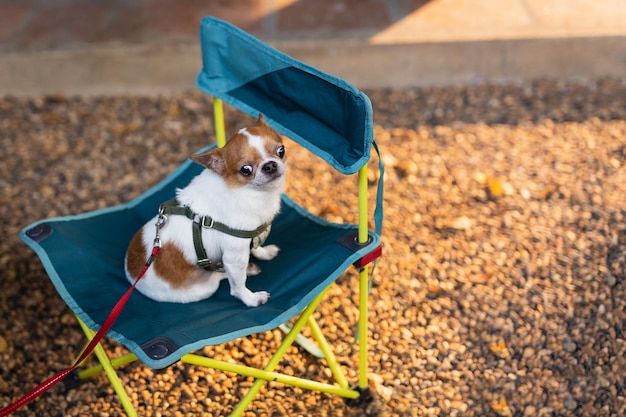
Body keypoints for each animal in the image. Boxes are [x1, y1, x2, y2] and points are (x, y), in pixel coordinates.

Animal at [124, 114, 286, 306]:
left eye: (281, 151)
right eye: (245, 170)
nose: (270, 165)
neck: (247, 191)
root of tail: (131, 274)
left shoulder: (249, 236)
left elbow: (255, 247)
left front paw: (264, 252)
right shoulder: (234, 256)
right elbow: (238, 286)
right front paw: (251, 299)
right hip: (206, 288)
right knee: (220, 278)